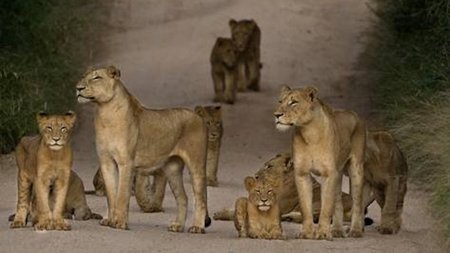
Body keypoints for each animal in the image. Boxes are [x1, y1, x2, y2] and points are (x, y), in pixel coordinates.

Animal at [76, 65, 210, 233]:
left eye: (96, 77)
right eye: (83, 76)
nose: (78, 88)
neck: (105, 113)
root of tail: (198, 117)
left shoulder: (126, 162)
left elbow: (122, 195)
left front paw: (119, 223)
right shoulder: (106, 162)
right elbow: (111, 194)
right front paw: (110, 220)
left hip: (196, 165)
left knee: (200, 198)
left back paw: (197, 227)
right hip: (172, 169)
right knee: (183, 197)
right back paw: (177, 225)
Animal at [272, 85, 368, 239]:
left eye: (294, 102)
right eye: (280, 101)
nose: (276, 115)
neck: (309, 132)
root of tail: (355, 114)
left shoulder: (329, 174)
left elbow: (326, 206)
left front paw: (322, 233)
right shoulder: (302, 173)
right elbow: (306, 207)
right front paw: (306, 233)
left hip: (356, 169)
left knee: (358, 203)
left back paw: (355, 231)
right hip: (338, 173)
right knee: (338, 202)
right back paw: (336, 230)